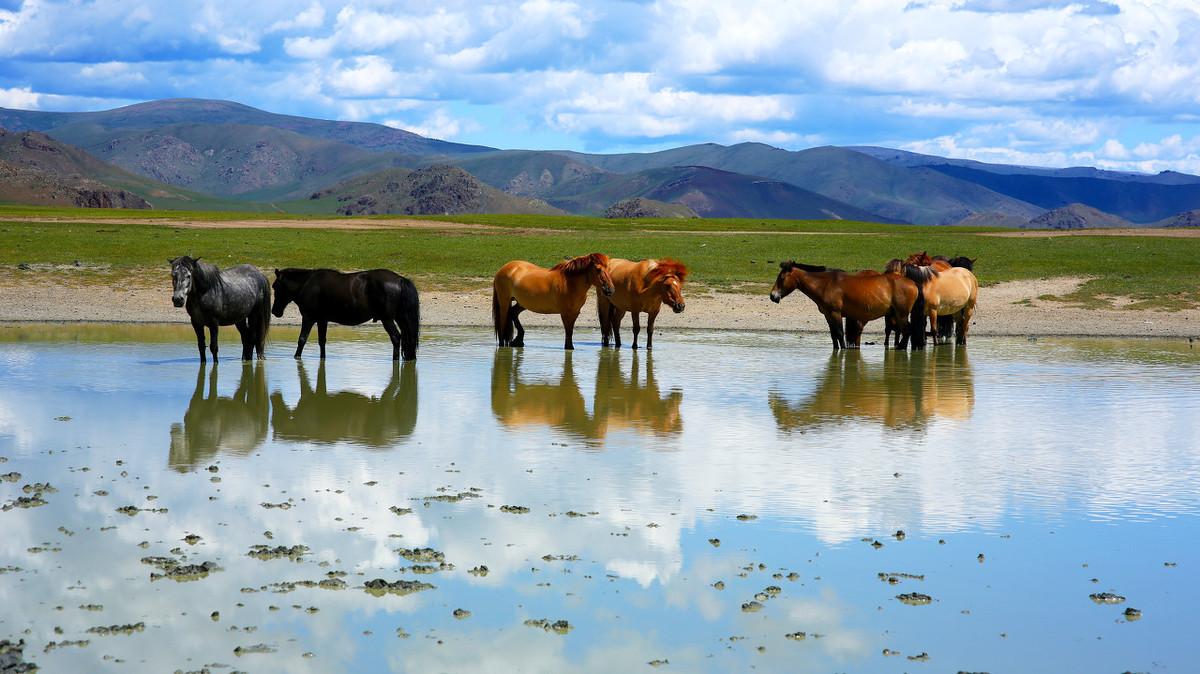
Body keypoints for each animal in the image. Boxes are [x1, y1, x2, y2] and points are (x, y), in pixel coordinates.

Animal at [272, 267, 422, 362]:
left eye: (275, 287)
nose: (275, 311)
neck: (307, 284)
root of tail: (400, 279)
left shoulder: (309, 318)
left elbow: (302, 339)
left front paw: (296, 357)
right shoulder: (322, 320)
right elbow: (322, 341)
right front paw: (322, 359)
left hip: (387, 319)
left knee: (396, 338)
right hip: (400, 318)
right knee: (407, 338)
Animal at [768, 260, 916, 347]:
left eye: (782, 277)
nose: (772, 296)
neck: (825, 284)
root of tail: (912, 283)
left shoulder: (836, 313)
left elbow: (839, 333)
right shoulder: (828, 315)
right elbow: (834, 335)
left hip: (902, 314)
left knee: (907, 331)